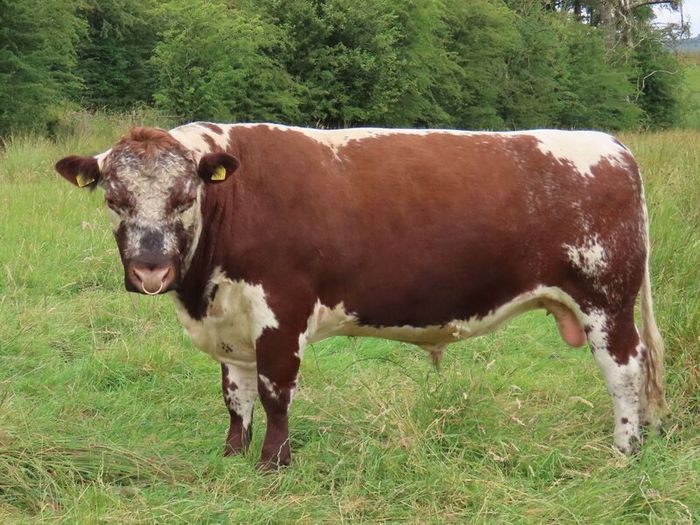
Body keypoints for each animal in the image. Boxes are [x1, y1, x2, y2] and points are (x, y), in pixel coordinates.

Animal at [55, 123, 667, 469]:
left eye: (185, 197)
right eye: (113, 198)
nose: (150, 271)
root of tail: (610, 143)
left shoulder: (281, 310)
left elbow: (276, 393)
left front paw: (273, 464)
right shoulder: (230, 324)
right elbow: (236, 396)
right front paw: (231, 455)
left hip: (606, 300)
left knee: (625, 370)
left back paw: (624, 449)